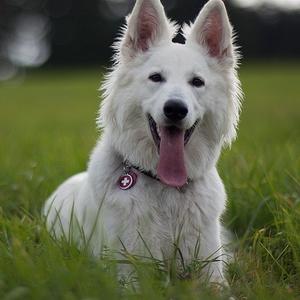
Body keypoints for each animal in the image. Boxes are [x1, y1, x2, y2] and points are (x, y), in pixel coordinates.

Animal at [44, 0, 241, 284]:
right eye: (156, 77)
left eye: (197, 82)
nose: (175, 109)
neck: (167, 187)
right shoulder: (130, 273)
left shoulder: (211, 272)